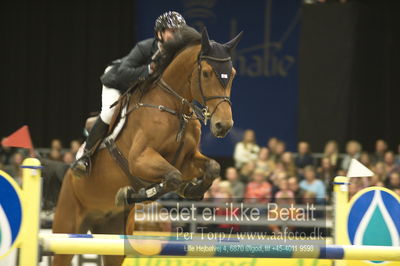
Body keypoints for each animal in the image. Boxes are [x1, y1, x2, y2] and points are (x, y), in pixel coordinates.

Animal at [51, 25, 242, 266]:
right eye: (207, 73)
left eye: (232, 74)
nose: (223, 125)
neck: (175, 108)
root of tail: (66, 174)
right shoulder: (139, 159)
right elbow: (172, 176)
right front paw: (132, 193)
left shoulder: (186, 159)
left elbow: (211, 168)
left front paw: (192, 189)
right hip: (66, 230)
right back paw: (83, 165)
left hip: (113, 234)